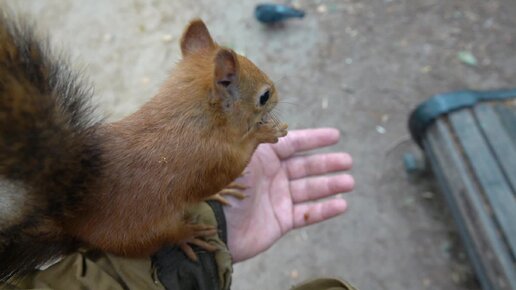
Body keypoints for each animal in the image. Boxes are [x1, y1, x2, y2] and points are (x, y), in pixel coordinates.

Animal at [0, 15, 286, 280]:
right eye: (264, 96)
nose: (277, 93)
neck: (192, 117)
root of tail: (73, 223)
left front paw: (224, 189)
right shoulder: (211, 159)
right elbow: (229, 167)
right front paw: (265, 133)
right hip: (142, 232)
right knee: (162, 239)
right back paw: (187, 234)